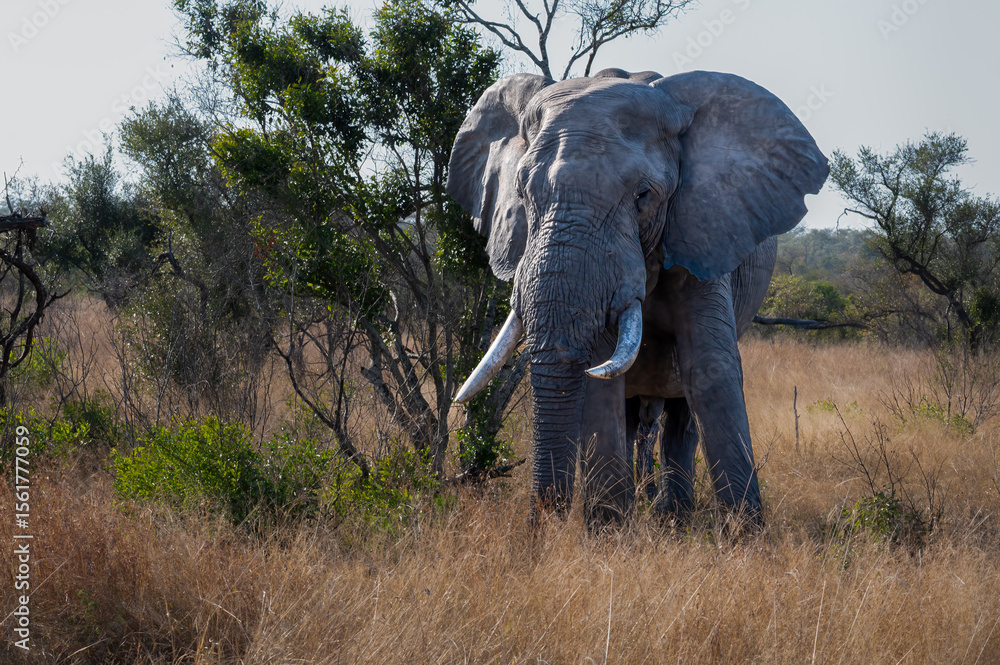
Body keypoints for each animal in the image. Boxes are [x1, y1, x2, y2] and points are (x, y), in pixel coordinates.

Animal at [447, 67, 827, 525]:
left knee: (681, 415)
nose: (545, 525)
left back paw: (674, 516)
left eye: (643, 196)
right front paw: (608, 529)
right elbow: (601, 380)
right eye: (522, 194)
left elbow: (710, 368)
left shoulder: (703, 228)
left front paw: (747, 532)